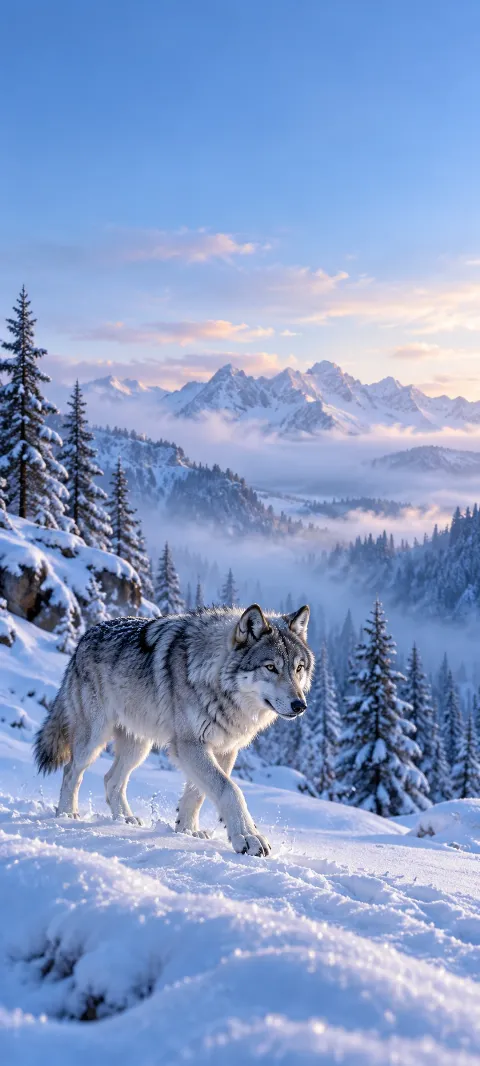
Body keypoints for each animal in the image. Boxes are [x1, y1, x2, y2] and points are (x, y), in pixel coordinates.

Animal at [34, 603, 313, 856]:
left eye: (298, 668)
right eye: (271, 667)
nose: (300, 706)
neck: (214, 680)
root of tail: (86, 635)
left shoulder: (224, 750)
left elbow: (197, 795)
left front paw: (187, 832)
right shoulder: (189, 745)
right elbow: (230, 790)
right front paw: (248, 837)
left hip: (138, 747)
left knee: (111, 779)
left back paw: (125, 820)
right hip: (94, 738)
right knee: (71, 770)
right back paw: (67, 814)